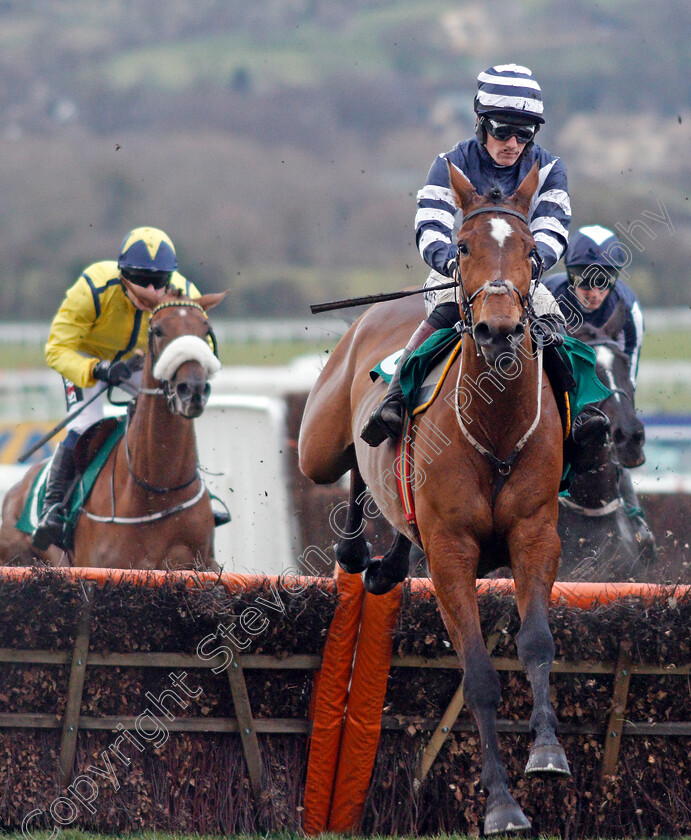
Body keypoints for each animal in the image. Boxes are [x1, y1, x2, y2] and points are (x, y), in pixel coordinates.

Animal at [0, 282, 228, 572]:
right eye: (157, 330)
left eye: (205, 331)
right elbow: (60, 346)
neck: (156, 492)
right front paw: (112, 370)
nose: (193, 391)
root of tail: (15, 491)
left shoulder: (202, 565)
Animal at [300, 162, 572, 832]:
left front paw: (547, 752)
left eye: (530, 250)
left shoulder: (535, 536)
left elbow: (536, 643)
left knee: (393, 514)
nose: (499, 329)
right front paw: (501, 806)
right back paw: (354, 550)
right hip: (318, 444)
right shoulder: (452, 554)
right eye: (465, 247)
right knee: (350, 464)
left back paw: (386, 562)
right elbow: (476, 677)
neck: (494, 426)